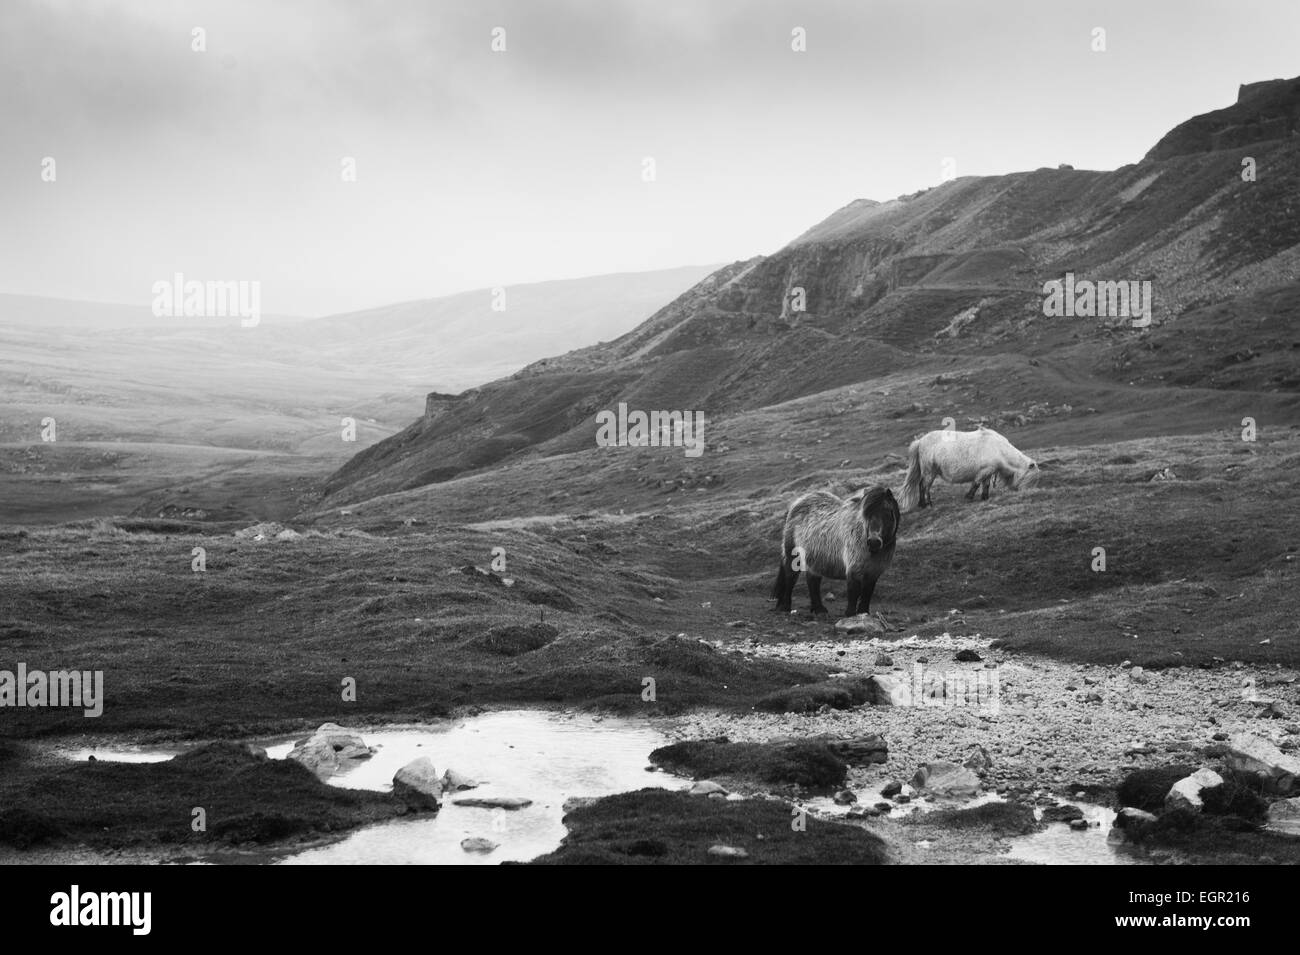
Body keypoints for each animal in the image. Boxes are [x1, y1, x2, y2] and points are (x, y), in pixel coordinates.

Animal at [771, 484, 900, 618]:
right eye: (866, 515)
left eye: (887, 513)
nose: (874, 541)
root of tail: (797, 502)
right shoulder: (854, 568)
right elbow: (853, 591)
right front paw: (850, 614)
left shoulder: (874, 572)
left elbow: (867, 593)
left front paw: (863, 613)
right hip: (793, 555)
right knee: (790, 578)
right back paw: (785, 607)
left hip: (814, 559)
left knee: (812, 581)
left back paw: (818, 609)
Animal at [898, 425, 1038, 510]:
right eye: (1030, 478)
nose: (1024, 493)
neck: (999, 449)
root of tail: (920, 441)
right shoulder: (983, 471)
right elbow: (976, 484)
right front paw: (969, 497)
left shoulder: (989, 471)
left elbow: (985, 485)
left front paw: (985, 498)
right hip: (929, 471)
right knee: (924, 486)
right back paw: (927, 504)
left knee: (921, 485)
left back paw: (922, 504)